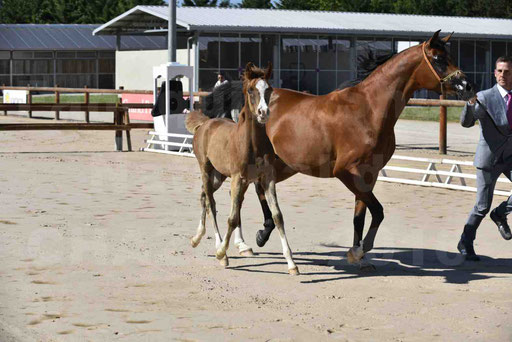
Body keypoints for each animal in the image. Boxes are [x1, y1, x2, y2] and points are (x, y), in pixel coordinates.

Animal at [185, 62, 300, 276]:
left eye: (269, 89)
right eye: (250, 90)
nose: (263, 113)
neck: (252, 144)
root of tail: (205, 123)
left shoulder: (267, 178)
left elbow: (277, 215)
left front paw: (291, 263)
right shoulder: (238, 177)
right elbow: (232, 218)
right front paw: (222, 253)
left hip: (218, 175)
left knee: (204, 197)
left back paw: (197, 238)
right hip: (206, 168)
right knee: (211, 203)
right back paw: (218, 249)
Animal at [252, 30, 476, 268]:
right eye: (438, 59)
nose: (468, 86)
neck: (368, 110)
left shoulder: (369, 173)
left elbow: (359, 216)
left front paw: (356, 254)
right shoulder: (345, 172)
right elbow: (377, 211)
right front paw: (360, 249)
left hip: (284, 165)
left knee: (261, 187)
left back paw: (263, 233)